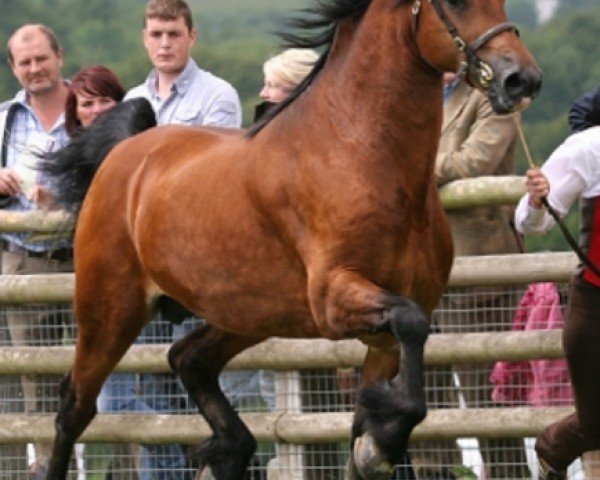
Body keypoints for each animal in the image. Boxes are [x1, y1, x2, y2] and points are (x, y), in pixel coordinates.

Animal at [44, 0, 540, 480]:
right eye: (455, 1)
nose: (522, 79)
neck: (360, 154)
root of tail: (126, 154)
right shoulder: (336, 301)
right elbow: (412, 323)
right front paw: (383, 438)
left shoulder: (382, 337)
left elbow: (370, 417)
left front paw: (379, 437)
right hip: (111, 309)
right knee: (74, 407)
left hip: (246, 314)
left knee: (188, 359)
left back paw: (228, 449)